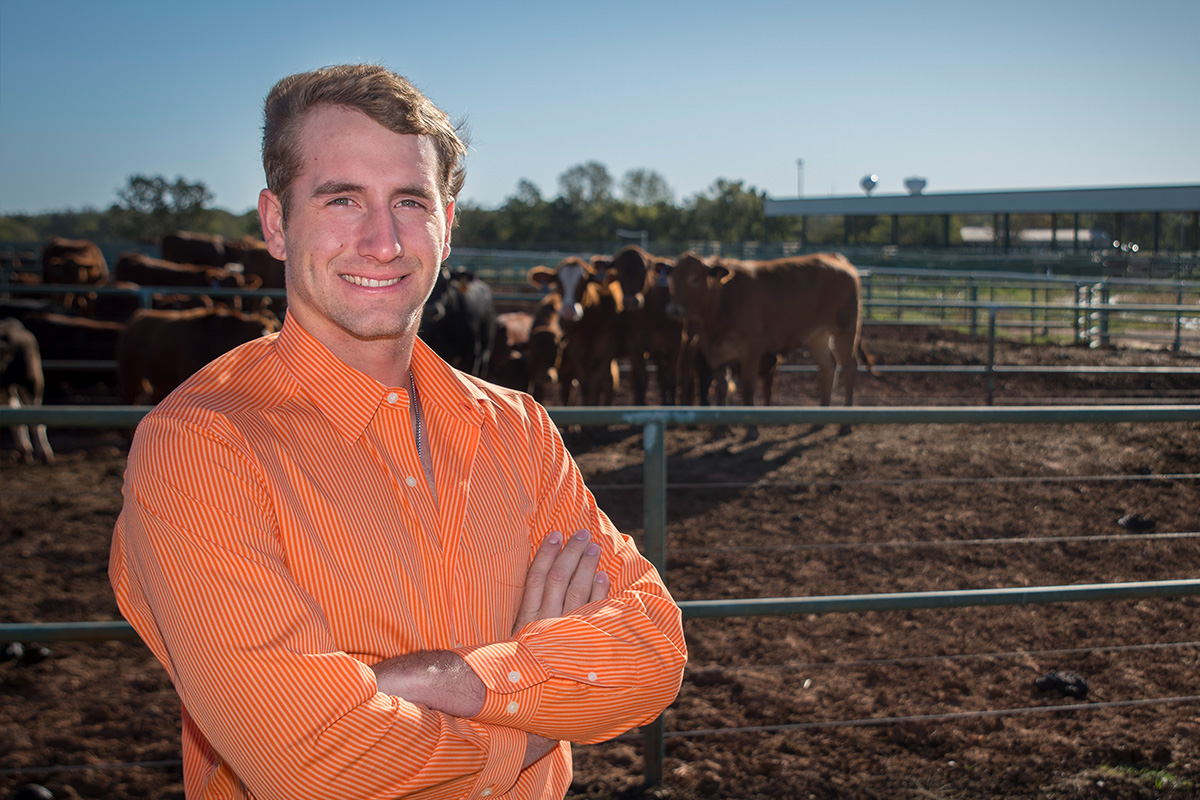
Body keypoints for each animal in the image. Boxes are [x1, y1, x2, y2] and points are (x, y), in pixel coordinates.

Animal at [1, 318, 54, 464]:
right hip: (6, 388)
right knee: (16, 411)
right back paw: (24, 452)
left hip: (32, 380)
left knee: (36, 416)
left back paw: (45, 454)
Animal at [528, 257, 623, 406]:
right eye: (558, 282)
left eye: (584, 281)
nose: (568, 310)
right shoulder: (575, 351)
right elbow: (584, 385)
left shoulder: (605, 349)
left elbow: (595, 383)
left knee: (610, 380)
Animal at [608, 245, 685, 405]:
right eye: (619, 270)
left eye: (645, 270)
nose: (631, 301)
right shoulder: (635, 344)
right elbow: (641, 381)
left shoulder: (676, 343)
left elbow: (671, 380)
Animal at [665, 251, 874, 436]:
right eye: (672, 278)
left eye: (694, 279)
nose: (673, 310)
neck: (723, 301)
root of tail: (836, 259)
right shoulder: (716, 354)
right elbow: (721, 389)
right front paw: (720, 430)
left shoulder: (750, 350)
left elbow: (748, 387)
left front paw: (752, 430)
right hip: (818, 336)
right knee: (828, 366)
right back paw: (819, 421)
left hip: (845, 330)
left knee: (849, 367)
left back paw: (845, 425)